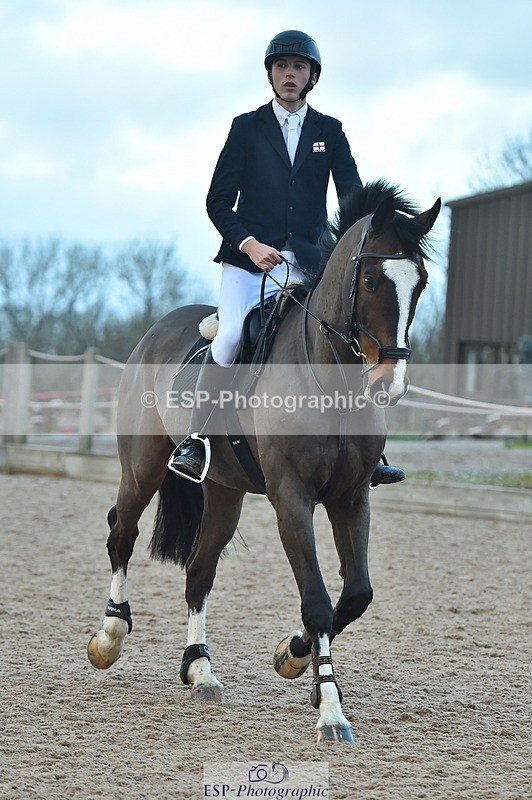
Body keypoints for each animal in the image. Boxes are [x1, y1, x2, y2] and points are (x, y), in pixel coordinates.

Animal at [87, 180, 440, 743]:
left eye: (421, 283)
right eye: (369, 280)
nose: (390, 385)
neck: (330, 379)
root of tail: (159, 327)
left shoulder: (351, 497)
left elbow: (355, 594)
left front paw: (293, 657)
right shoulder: (290, 497)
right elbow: (317, 598)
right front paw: (330, 711)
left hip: (225, 492)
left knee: (199, 571)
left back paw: (200, 670)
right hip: (142, 468)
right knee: (122, 532)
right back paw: (110, 638)